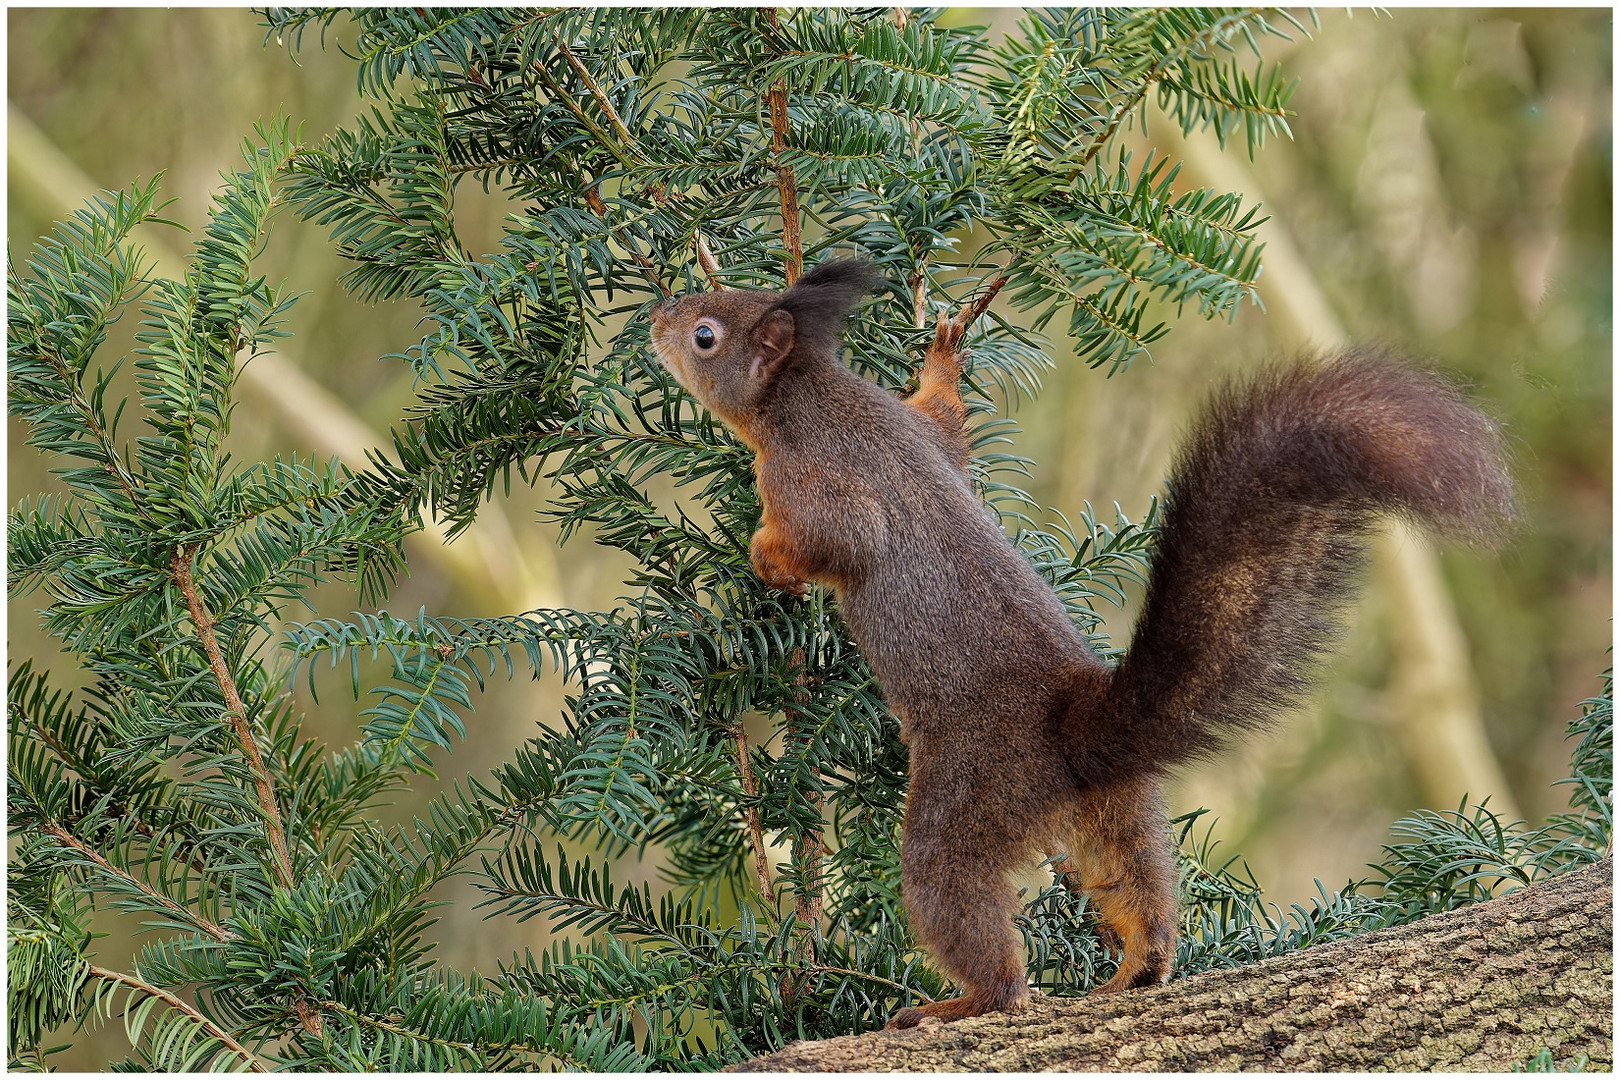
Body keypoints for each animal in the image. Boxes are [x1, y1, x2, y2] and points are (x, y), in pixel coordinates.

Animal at [644, 257, 1516, 1029]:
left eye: (707, 336)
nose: (656, 316)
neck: (806, 394)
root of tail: (1077, 732)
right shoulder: (917, 433)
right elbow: (945, 427)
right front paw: (944, 355)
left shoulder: (814, 480)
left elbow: (838, 541)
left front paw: (767, 562)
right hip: (1117, 809)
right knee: (1141, 892)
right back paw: (1139, 966)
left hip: (970, 801)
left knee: (978, 936)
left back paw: (961, 1003)